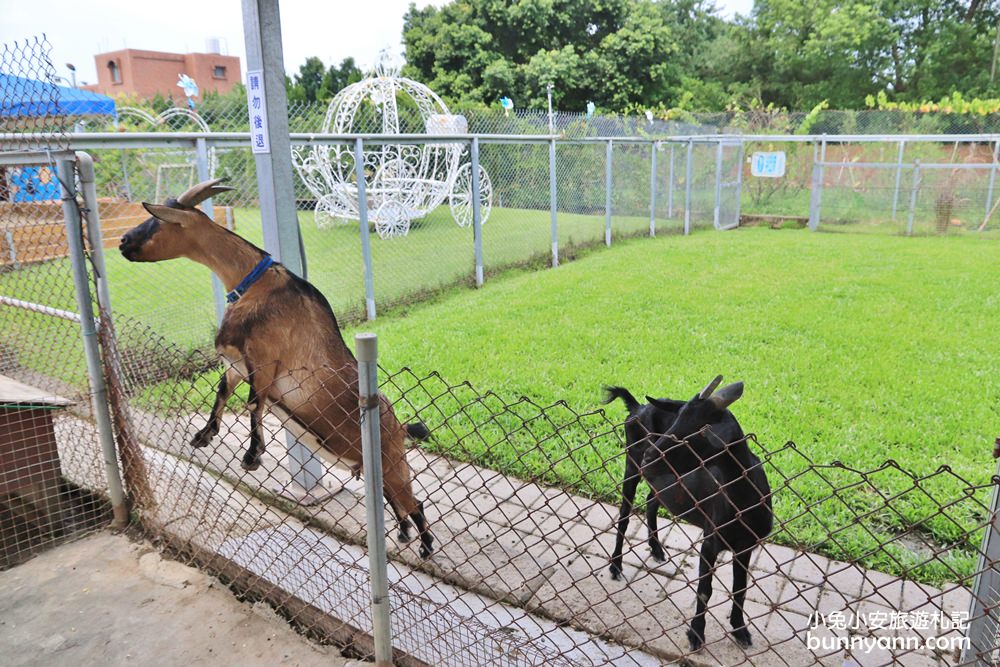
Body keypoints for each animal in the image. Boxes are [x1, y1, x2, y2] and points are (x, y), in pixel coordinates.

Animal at [119, 179, 432, 560]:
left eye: (156, 221)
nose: (122, 243)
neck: (255, 284)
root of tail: (400, 426)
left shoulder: (265, 359)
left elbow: (255, 403)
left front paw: (252, 456)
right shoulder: (237, 363)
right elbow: (222, 392)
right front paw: (204, 436)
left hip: (392, 462)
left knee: (415, 503)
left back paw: (426, 548)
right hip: (379, 469)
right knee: (397, 503)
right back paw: (402, 534)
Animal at [640, 376, 772, 652]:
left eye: (698, 431)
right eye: (677, 418)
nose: (648, 458)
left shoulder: (746, 545)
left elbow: (740, 589)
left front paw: (741, 630)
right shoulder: (710, 542)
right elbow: (705, 590)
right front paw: (696, 634)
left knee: (650, 501)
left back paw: (656, 549)